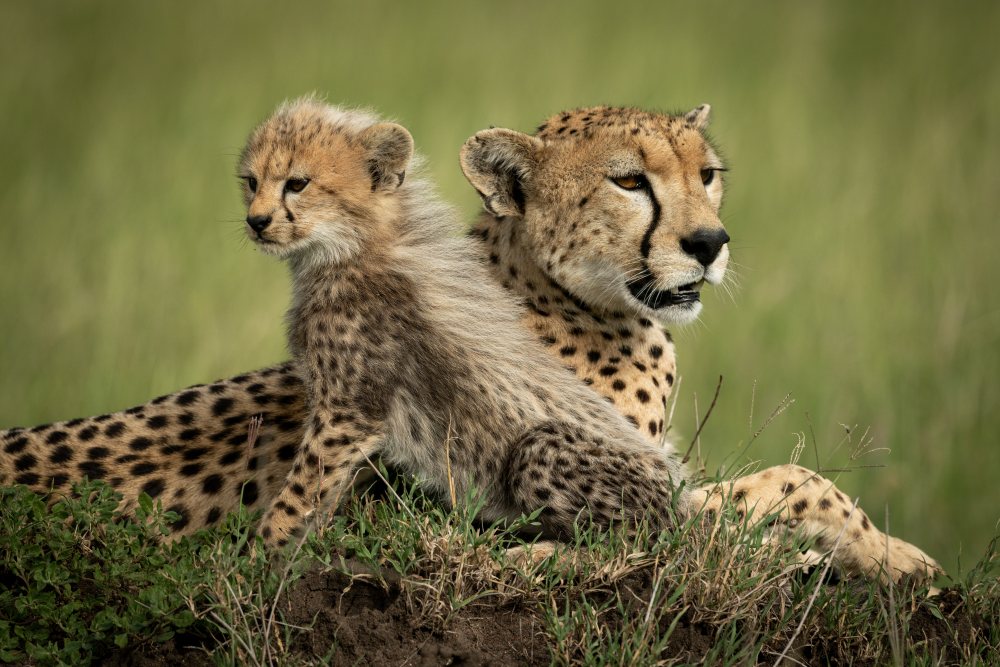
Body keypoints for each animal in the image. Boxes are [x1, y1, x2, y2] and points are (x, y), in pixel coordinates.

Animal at [0, 99, 939, 583]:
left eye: (705, 173)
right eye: (629, 181)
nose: (709, 243)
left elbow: (785, 483)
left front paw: (884, 550)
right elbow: (788, 483)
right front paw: (899, 554)